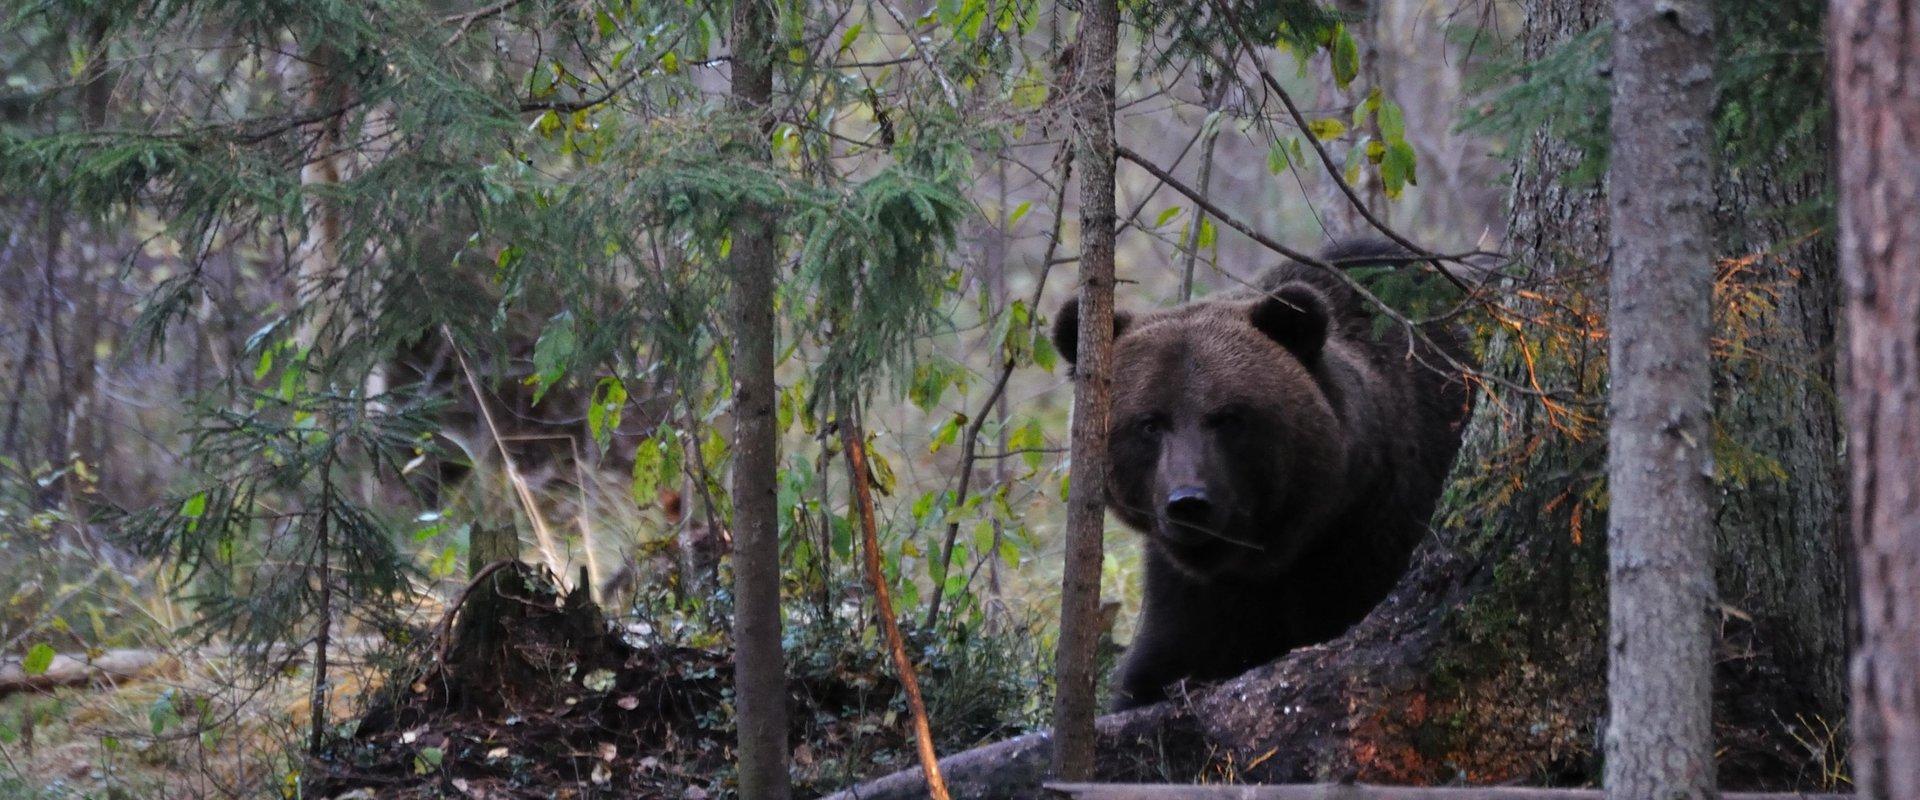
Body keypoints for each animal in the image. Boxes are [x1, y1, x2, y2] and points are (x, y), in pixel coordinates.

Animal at [1052, 239, 1466, 705]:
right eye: (1149, 423)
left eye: (1228, 417)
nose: (1188, 502)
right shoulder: (1191, 594)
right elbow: (1159, 667)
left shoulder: (1374, 534)